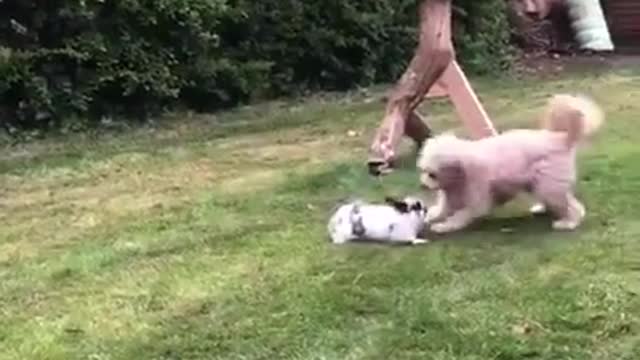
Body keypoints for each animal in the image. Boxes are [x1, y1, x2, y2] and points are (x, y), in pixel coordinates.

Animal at [418, 93, 604, 233]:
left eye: (432, 174)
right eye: (424, 171)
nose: (423, 185)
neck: (462, 171)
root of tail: (560, 139)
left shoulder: (477, 195)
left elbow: (462, 214)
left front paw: (444, 226)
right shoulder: (452, 194)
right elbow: (443, 208)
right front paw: (432, 216)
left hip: (548, 184)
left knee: (572, 206)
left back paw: (568, 222)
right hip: (539, 183)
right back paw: (543, 209)